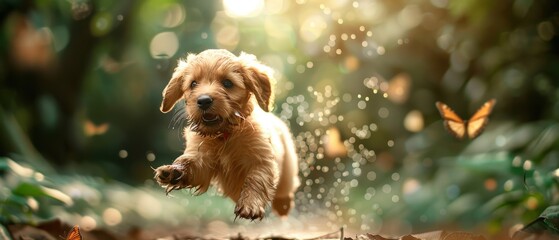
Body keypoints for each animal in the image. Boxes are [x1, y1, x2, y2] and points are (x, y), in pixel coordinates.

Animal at [153, 49, 300, 220]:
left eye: (227, 83)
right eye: (193, 84)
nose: (204, 101)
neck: (224, 134)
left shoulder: (261, 159)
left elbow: (256, 180)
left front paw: (251, 205)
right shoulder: (202, 158)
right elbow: (191, 164)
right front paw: (173, 171)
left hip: (288, 168)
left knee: (285, 188)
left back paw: (283, 205)